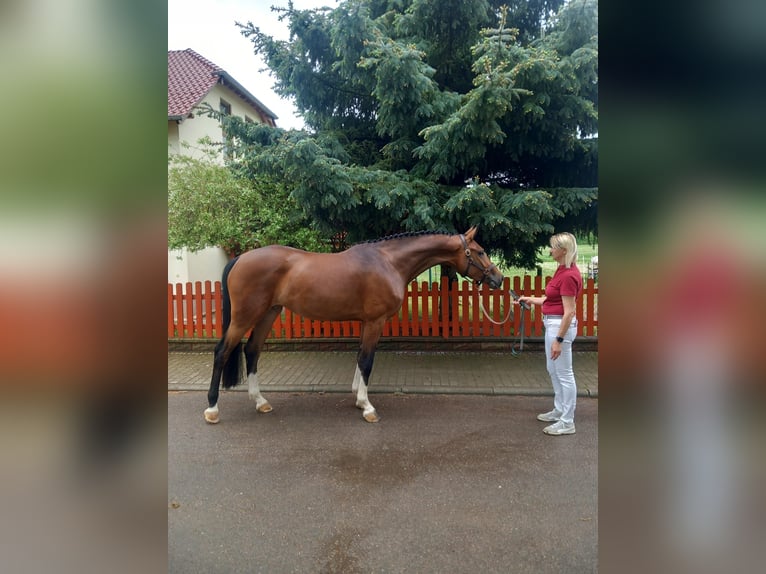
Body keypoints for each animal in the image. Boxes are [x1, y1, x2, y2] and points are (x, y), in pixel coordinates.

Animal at [204, 227, 504, 424]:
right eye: (480, 251)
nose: (498, 279)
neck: (388, 262)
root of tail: (240, 258)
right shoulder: (375, 322)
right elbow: (368, 361)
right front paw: (367, 407)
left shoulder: (365, 323)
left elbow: (360, 358)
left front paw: (358, 400)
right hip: (244, 317)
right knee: (222, 352)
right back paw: (212, 409)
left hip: (269, 313)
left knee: (252, 351)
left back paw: (261, 402)